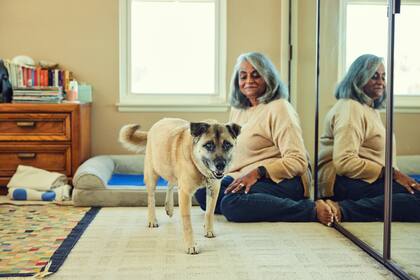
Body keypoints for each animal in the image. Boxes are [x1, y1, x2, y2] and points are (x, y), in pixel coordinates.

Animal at [120, 118, 241, 254]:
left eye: (227, 145)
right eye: (208, 145)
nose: (221, 165)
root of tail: (155, 126)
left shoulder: (213, 190)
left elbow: (209, 213)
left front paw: (208, 230)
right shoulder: (185, 193)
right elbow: (187, 223)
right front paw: (191, 245)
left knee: (170, 183)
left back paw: (169, 207)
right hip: (152, 175)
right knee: (151, 199)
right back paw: (152, 220)